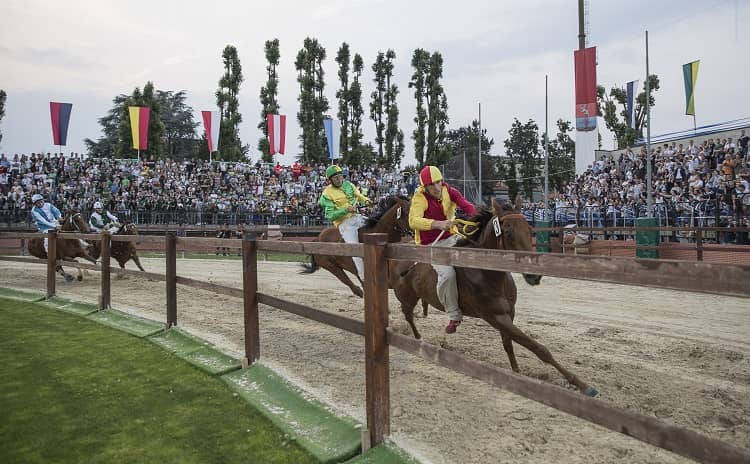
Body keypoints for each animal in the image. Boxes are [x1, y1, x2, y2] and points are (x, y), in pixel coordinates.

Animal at [394, 198, 600, 396]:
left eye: (529, 230)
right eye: (508, 233)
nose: (533, 275)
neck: (485, 272)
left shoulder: (509, 313)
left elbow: (508, 344)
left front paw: (516, 372)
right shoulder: (496, 317)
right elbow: (538, 348)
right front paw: (583, 386)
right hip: (407, 297)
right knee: (407, 314)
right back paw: (418, 338)